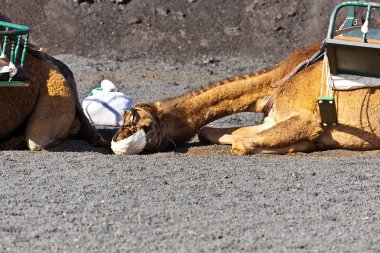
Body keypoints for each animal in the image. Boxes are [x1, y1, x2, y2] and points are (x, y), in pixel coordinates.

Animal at [112, 42, 380, 155]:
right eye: (122, 118)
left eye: (144, 125)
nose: (117, 143)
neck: (278, 81)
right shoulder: (272, 120)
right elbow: (208, 132)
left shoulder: (307, 119)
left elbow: (241, 144)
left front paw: (309, 144)